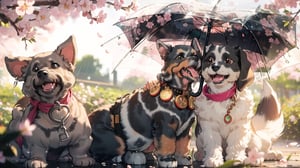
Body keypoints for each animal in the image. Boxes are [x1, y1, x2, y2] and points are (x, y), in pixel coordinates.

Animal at [5, 36, 95, 167]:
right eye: (35, 69)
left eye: (55, 65)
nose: (42, 73)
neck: (54, 106)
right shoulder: (35, 141)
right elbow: (37, 151)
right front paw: (37, 161)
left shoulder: (83, 137)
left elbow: (79, 149)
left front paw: (82, 159)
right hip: (15, 122)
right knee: (14, 146)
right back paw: (15, 158)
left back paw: (66, 157)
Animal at [88, 39, 202, 167]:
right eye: (179, 57)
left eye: (196, 54)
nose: (196, 57)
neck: (178, 92)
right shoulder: (165, 126)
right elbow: (168, 144)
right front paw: (168, 160)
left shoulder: (185, 129)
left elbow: (183, 144)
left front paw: (183, 158)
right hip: (116, 141)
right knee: (98, 153)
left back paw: (136, 156)